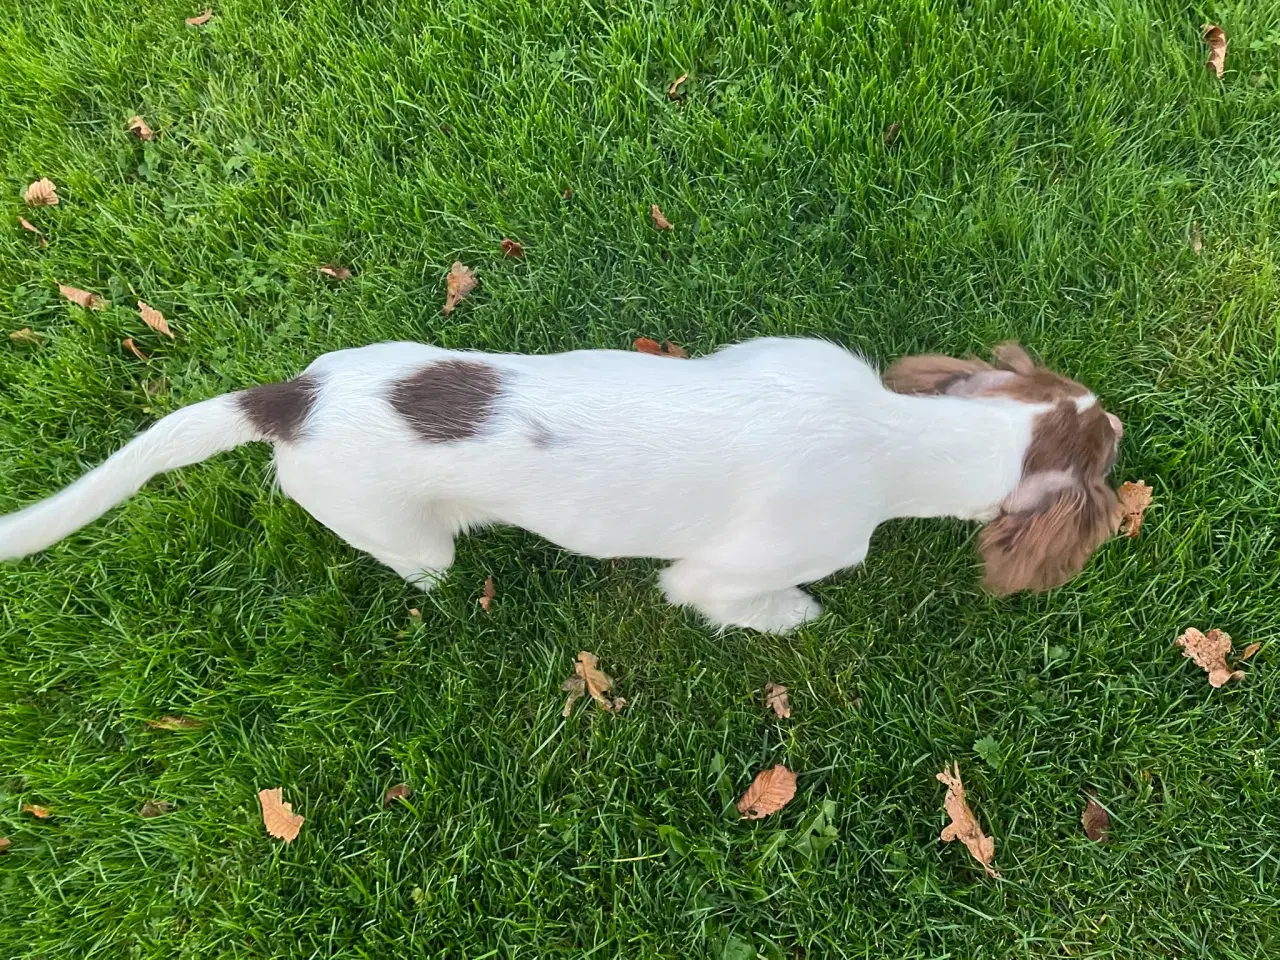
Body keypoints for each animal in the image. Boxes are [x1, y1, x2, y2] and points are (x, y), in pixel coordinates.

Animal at [0, 335, 1121, 634]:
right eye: (1108, 459)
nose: (1120, 422)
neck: (894, 431)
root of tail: (289, 400)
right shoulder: (716, 573)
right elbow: (751, 602)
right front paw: (794, 616)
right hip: (412, 539)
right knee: (420, 566)